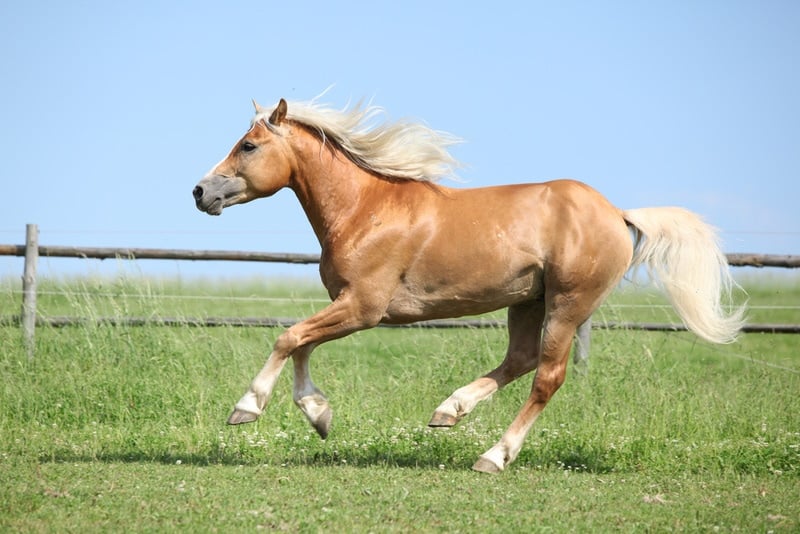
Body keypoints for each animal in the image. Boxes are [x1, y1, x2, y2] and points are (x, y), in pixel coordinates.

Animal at [192, 97, 745, 473]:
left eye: (248, 145)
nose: (200, 191)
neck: (366, 209)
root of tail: (616, 212)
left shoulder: (364, 307)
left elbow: (288, 337)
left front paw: (247, 408)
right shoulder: (347, 306)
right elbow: (302, 343)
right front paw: (318, 414)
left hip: (568, 304)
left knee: (547, 377)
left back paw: (494, 456)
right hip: (528, 302)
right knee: (520, 360)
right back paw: (449, 411)